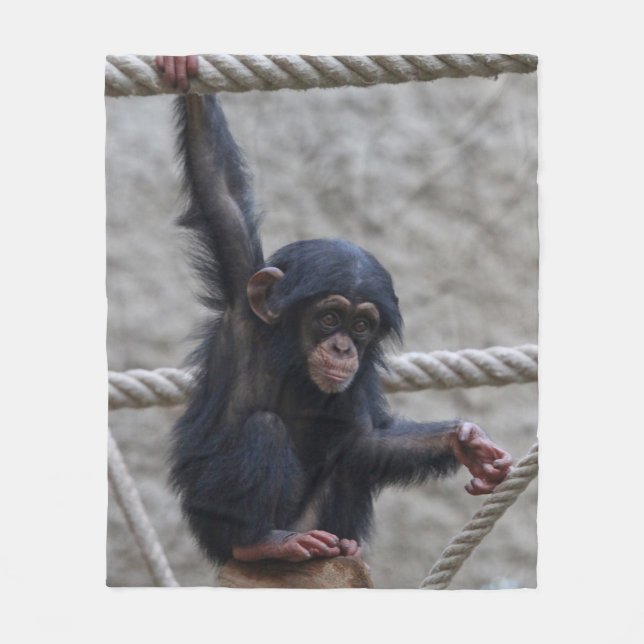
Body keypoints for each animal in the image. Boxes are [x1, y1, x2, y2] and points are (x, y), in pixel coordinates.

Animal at [167, 89, 513, 569]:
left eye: (362, 325)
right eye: (329, 318)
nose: (344, 348)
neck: (292, 358)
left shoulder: (359, 379)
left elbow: (365, 440)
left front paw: (467, 444)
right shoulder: (241, 302)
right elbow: (219, 192)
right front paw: (190, 85)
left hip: (316, 522)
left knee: (351, 461)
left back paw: (345, 545)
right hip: (214, 526)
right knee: (264, 430)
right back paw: (261, 542)